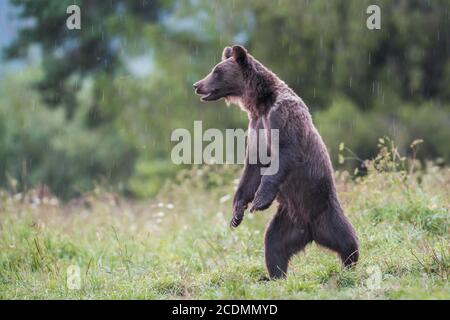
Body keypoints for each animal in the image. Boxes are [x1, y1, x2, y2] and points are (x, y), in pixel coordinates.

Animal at [193, 44, 358, 278]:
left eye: (217, 71)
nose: (197, 85)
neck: (260, 103)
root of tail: (310, 230)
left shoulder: (282, 116)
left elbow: (285, 153)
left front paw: (259, 200)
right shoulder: (256, 127)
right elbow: (252, 168)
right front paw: (237, 213)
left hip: (324, 208)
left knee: (347, 239)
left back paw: (349, 264)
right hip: (287, 219)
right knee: (274, 243)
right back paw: (275, 275)